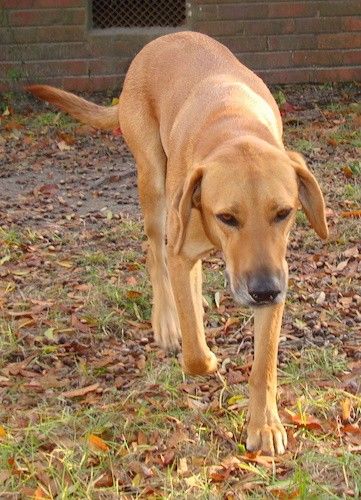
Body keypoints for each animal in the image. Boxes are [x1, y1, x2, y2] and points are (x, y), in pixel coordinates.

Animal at [26, 30, 328, 454]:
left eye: (283, 213)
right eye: (227, 217)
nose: (264, 291)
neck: (233, 127)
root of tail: (166, 37)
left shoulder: (275, 271)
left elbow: (264, 364)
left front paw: (265, 425)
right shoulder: (184, 248)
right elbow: (196, 354)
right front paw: (201, 351)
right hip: (152, 183)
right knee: (156, 256)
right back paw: (168, 324)